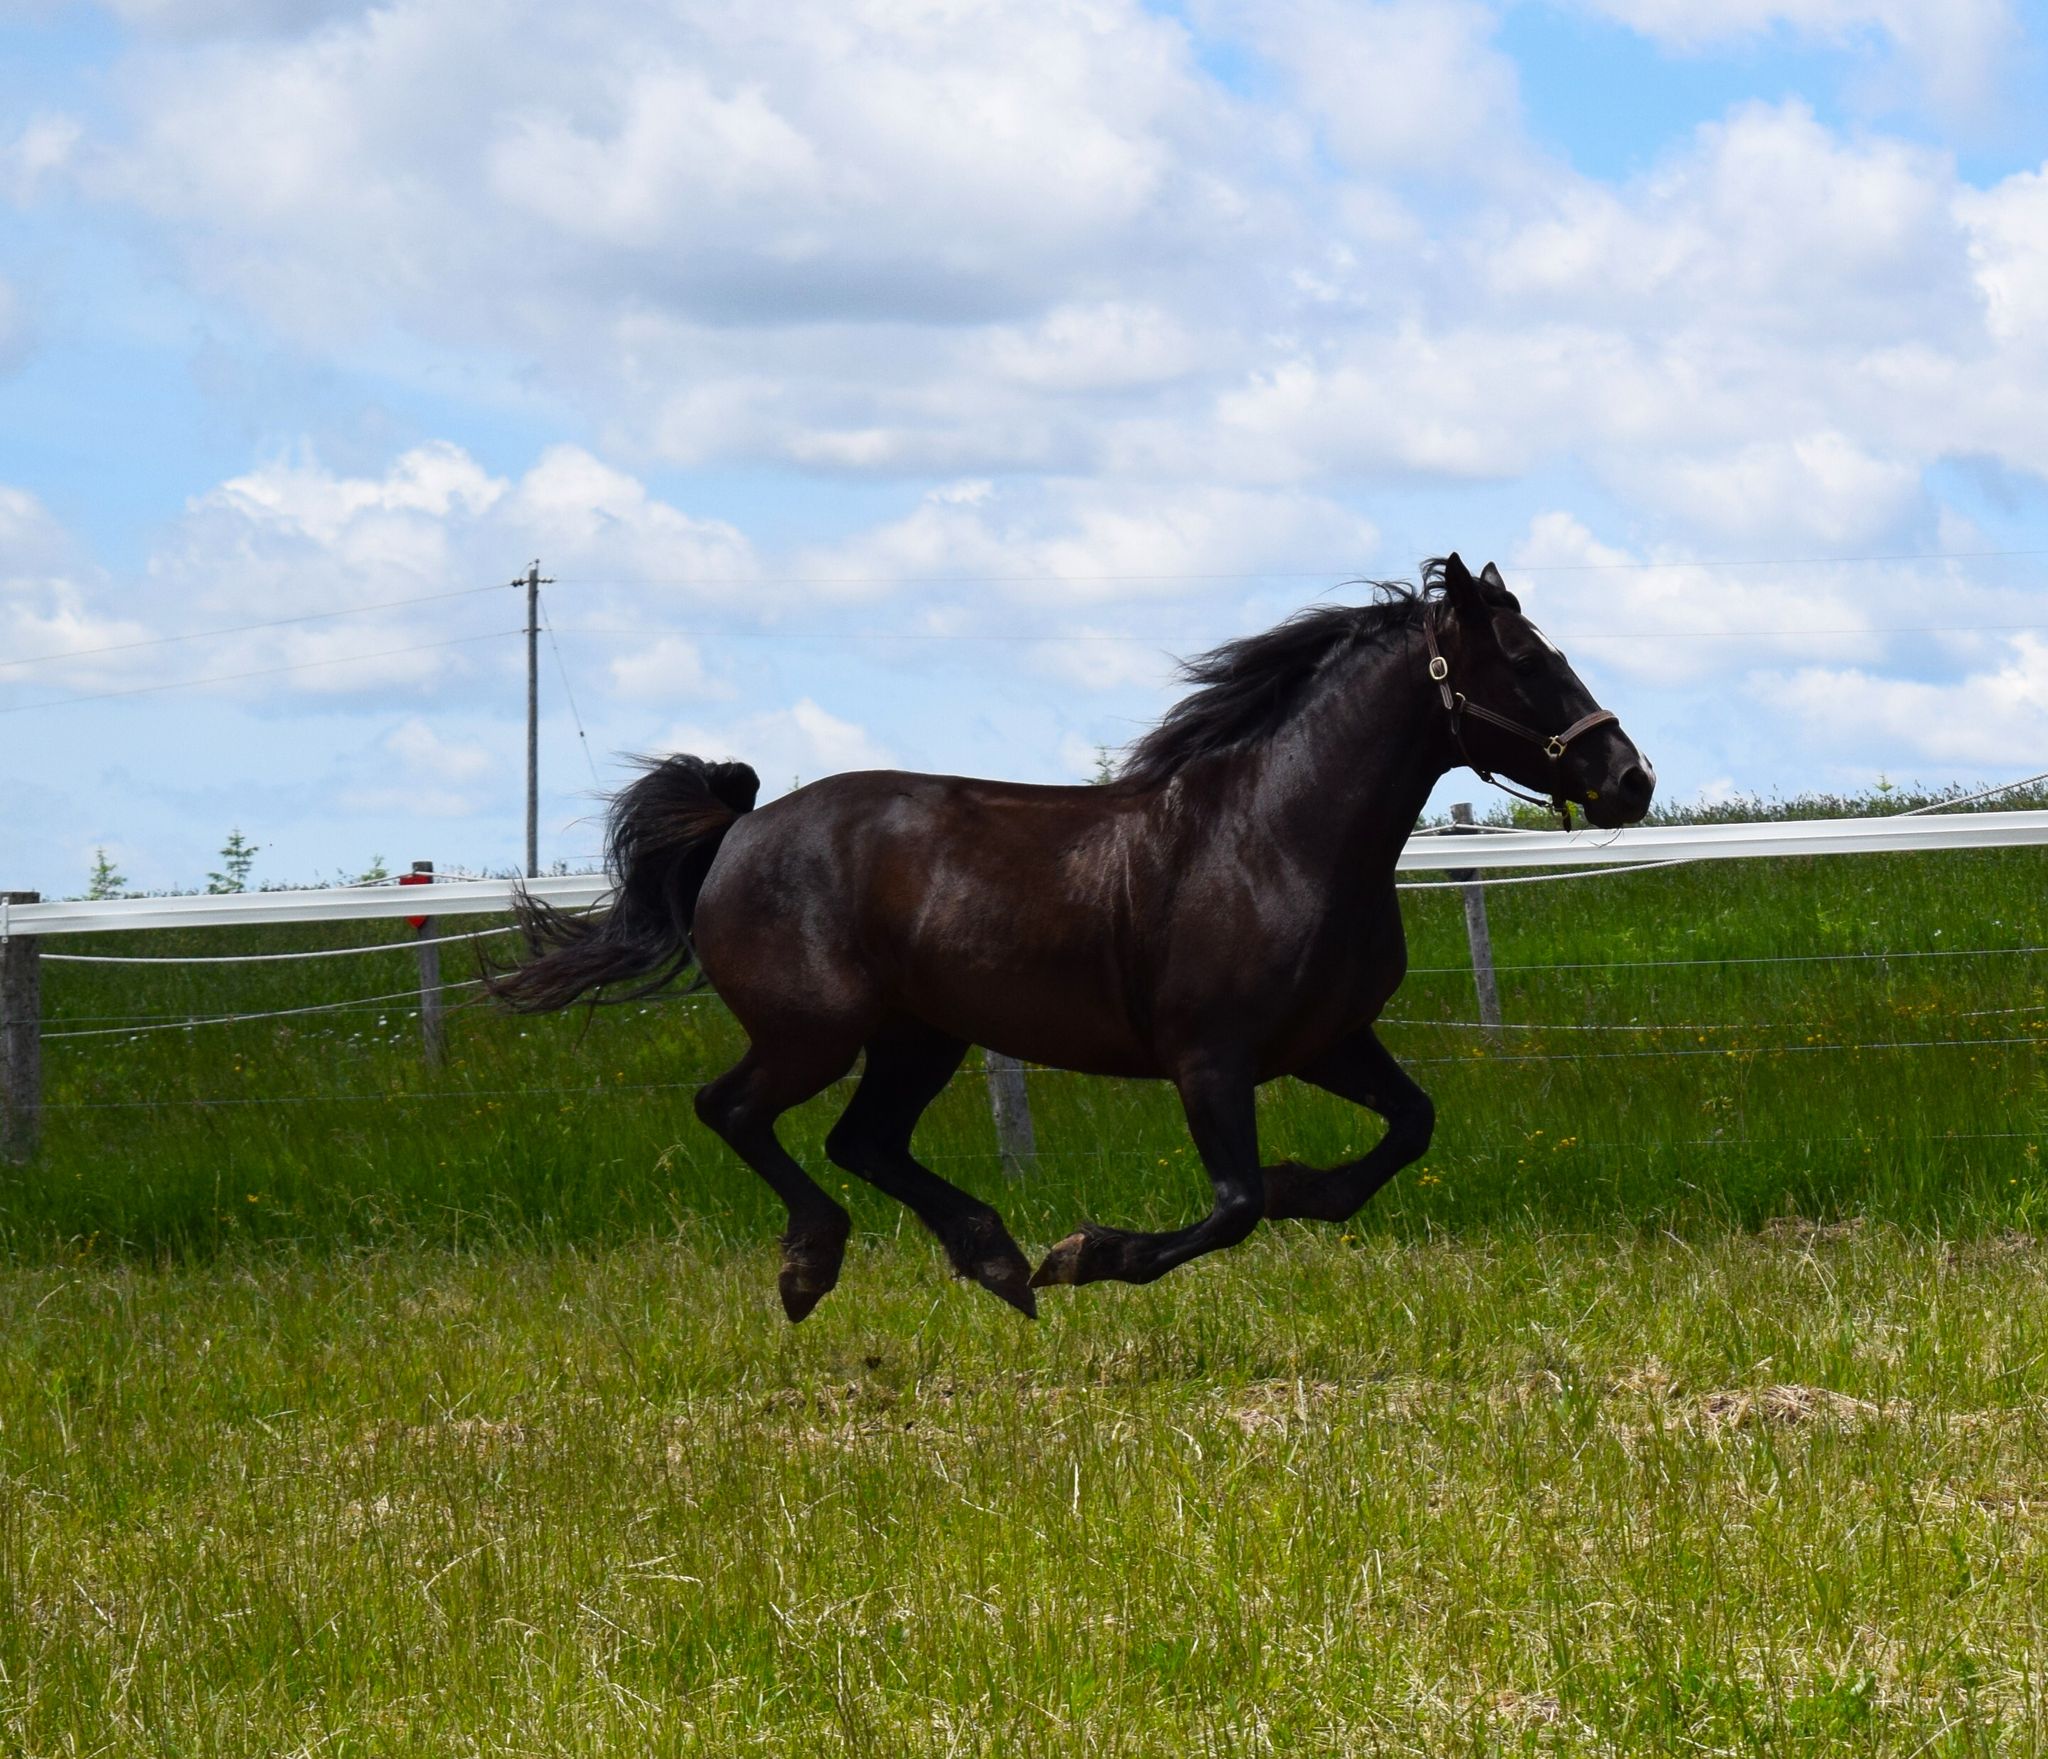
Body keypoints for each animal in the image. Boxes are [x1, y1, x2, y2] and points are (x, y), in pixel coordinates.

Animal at [490, 554, 1654, 1320]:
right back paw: (817, 1266)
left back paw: (993, 1261)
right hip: (811, 1031)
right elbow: (1231, 1206)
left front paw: (1302, 1189)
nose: (1629, 779)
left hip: (920, 1036)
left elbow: (1406, 1129)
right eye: (1523, 659)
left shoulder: (1329, 1042)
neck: (1275, 836)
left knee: (863, 1140)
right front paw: (1088, 1253)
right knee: (734, 1110)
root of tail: (739, 829)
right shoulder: (1209, 1057)